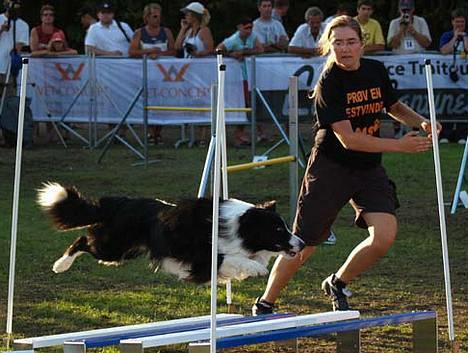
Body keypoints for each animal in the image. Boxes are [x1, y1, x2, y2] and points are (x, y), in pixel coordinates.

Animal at [38, 183, 306, 282]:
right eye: (277, 229)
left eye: (285, 226)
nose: (302, 243)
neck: (238, 226)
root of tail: (118, 203)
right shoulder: (202, 257)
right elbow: (232, 258)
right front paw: (257, 268)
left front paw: (253, 266)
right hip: (111, 246)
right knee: (82, 240)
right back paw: (60, 265)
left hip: (123, 252)